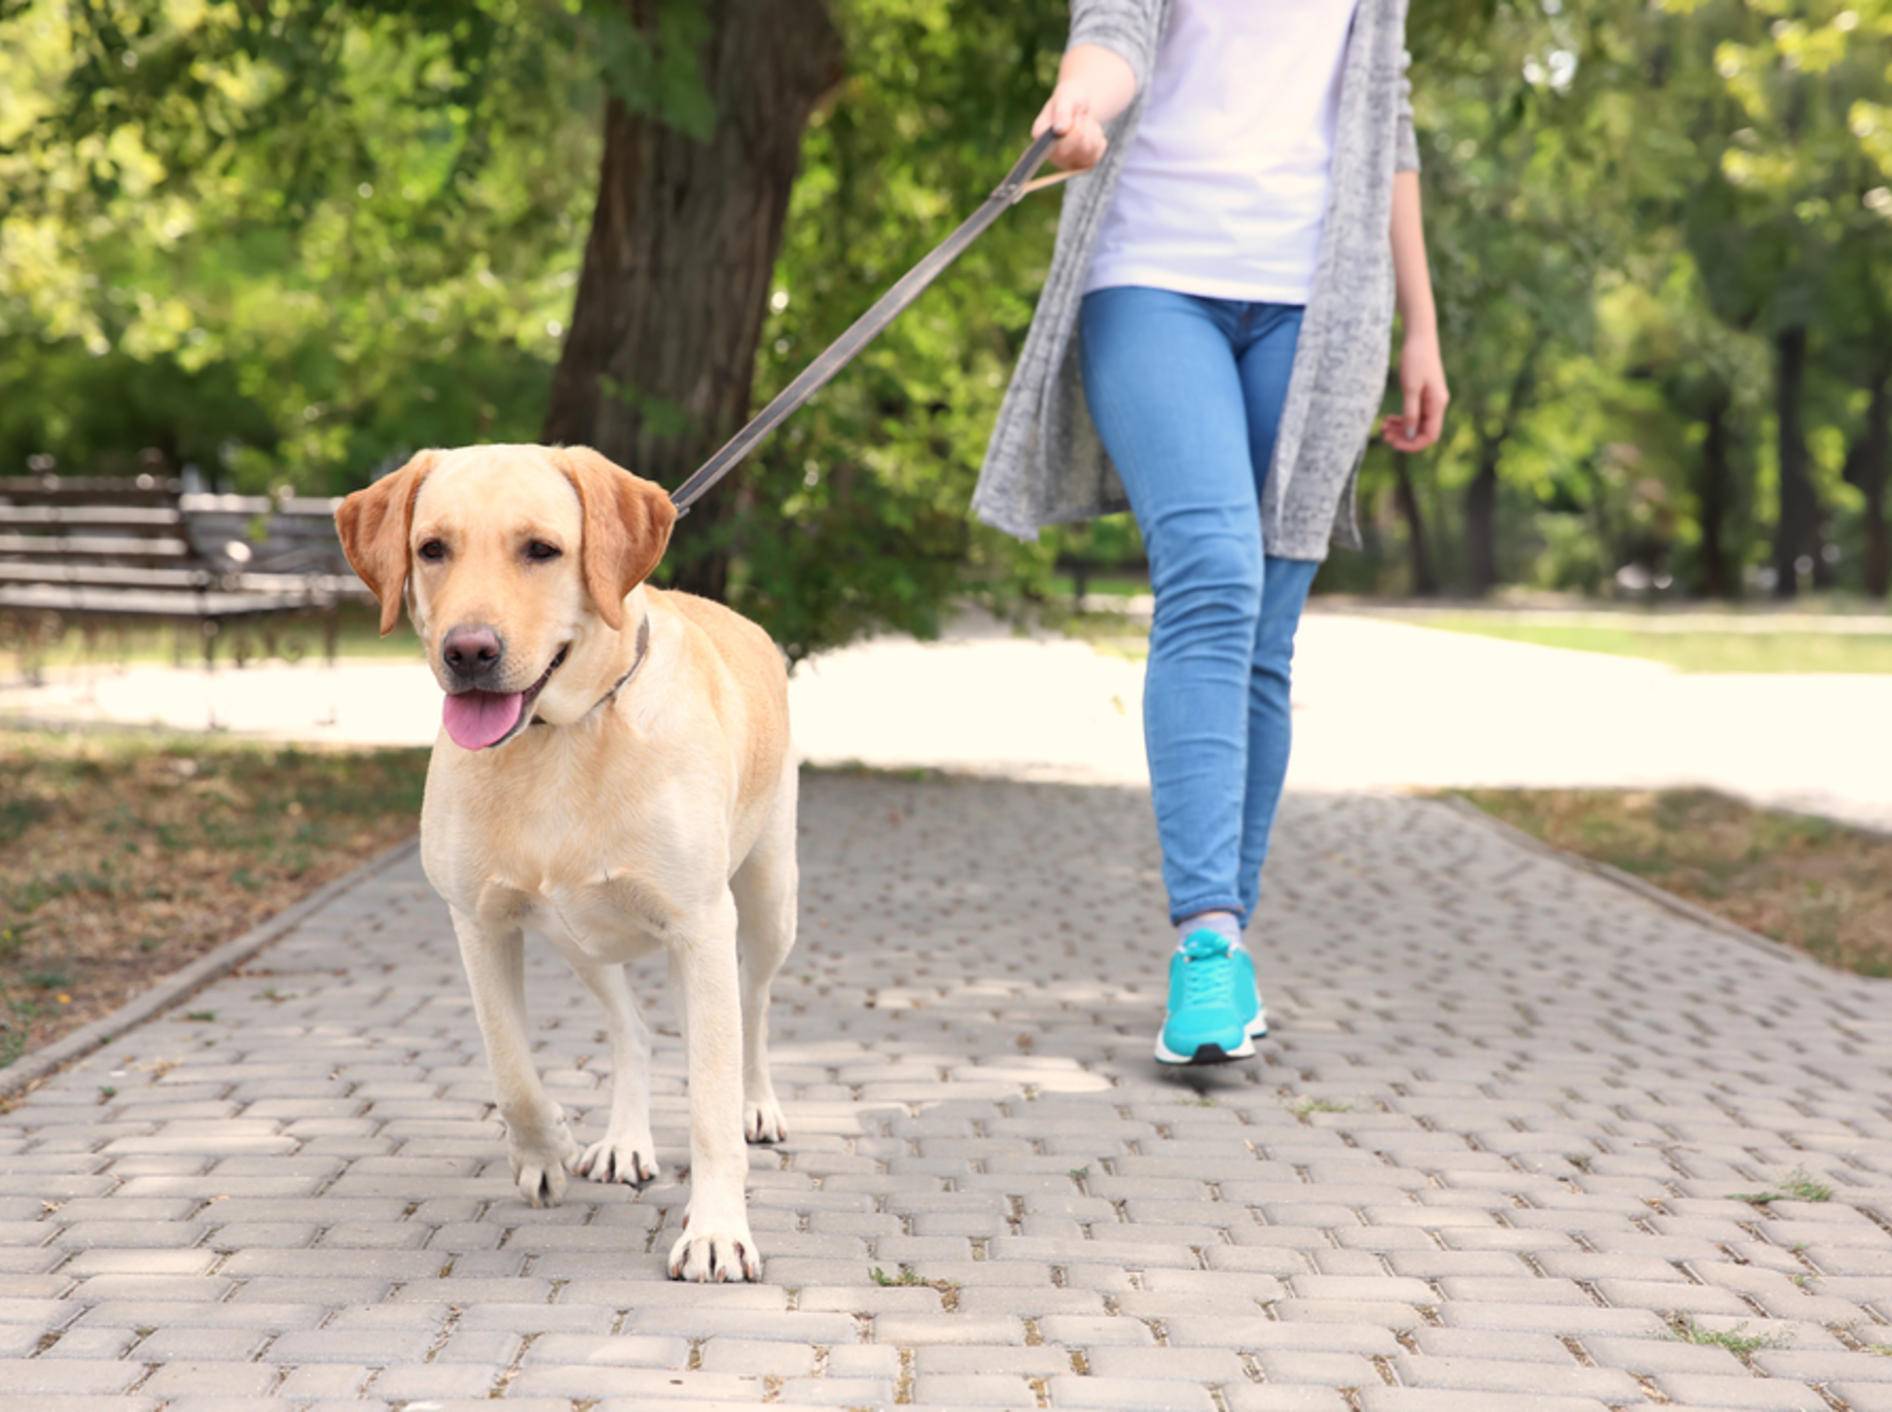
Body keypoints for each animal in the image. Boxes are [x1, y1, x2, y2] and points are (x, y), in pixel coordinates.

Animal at [332, 444, 790, 1279]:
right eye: (432, 549)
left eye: (541, 550)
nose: (468, 651)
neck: (559, 740)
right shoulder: (479, 923)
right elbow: (511, 1068)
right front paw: (546, 1150)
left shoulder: (702, 924)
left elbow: (709, 1098)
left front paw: (716, 1230)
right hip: (581, 940)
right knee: (633, 1028)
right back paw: (624, 1140)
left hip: (770, 901)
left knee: (753, 1006)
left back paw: (758, 1105)